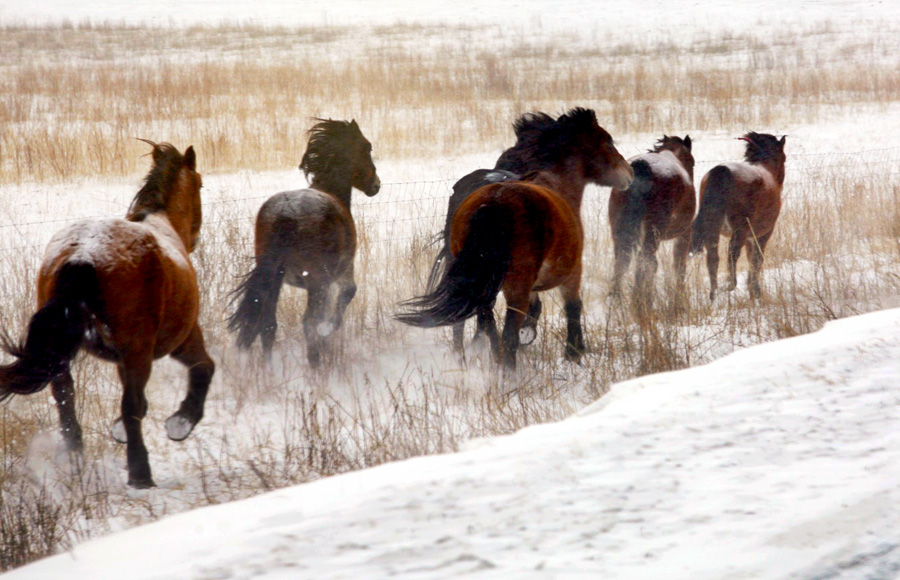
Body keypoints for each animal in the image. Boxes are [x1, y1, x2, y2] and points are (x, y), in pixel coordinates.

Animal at [0, 142, 213, 490]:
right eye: (201, 184)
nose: (194, 240)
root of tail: (83, 255)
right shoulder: (181, 340)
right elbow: (204, 369)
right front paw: (180, 422)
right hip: (139, 350)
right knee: (130, 405)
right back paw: (141, 474)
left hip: (66, 356)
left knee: (65, 398)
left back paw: (74, 460)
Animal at [229, 118, 380, 368]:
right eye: (367, 147)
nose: (375, 185)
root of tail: (285, 214)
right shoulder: (342, 273)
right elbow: (346, 295)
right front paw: (328, 332)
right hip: (316, 282)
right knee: (308, 321)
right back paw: (315, 364)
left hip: (274, 278)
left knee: (267, 323)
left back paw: (269, 369)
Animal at [400, 108, 632, 370]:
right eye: (609, 142)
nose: (630, 173)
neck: (557, 181)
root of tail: (494, 202)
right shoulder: (571, 272)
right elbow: (573, 306)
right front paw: (574, 353)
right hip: (514, 289)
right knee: (505, 335)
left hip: (482, 287)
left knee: (482, 325)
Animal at [608, 135, 700, 308]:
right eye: (693, 162)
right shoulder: (684, 234)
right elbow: (679, 265)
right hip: (653, 233)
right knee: (642, 261)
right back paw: (637, 303)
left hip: (620, 233)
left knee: (622, 263)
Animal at [688, 134, 788, 302]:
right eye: (784, 159)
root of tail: (722, 171)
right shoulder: (762, 234)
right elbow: (756, 259)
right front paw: (755, 291)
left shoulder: (749, 237)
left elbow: (750, 258)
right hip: (739, 230)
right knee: (732, 254)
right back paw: (730, 284)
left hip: (713, 229)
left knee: (713, 259)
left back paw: (713, 294)